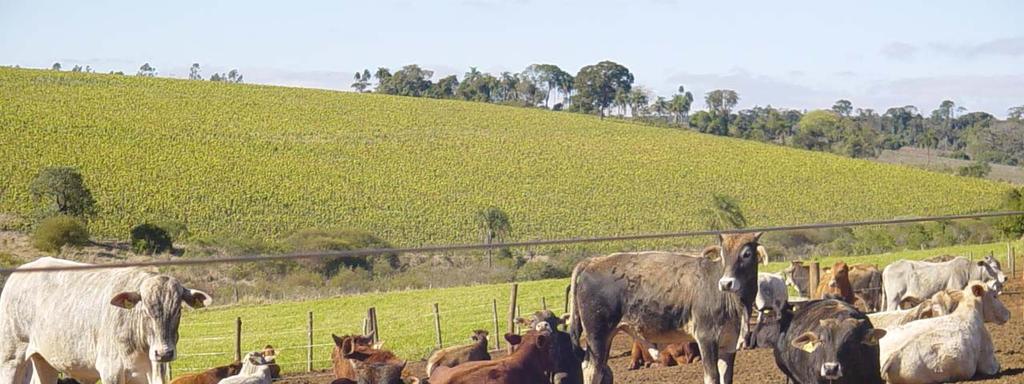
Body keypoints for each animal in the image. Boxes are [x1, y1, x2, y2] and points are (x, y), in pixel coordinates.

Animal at [0, 257, 210, 384]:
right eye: (144, 311)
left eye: (178, 310)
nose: (164, 353)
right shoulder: (111, 372)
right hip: (11, 359)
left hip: (44, 361)